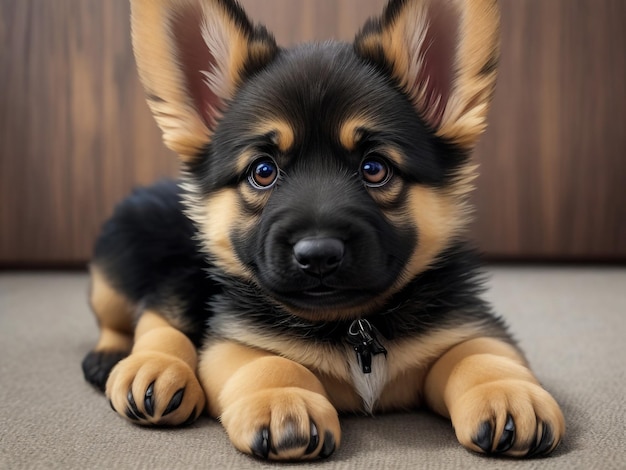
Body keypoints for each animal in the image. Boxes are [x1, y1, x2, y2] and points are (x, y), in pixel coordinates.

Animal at [80, 0, 564, 462]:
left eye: (374, 168)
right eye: (263, 171)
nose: (318, 256)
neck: (354, 326)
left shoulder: (469, 326)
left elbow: (480, 356)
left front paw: (506, 392)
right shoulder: (231, 342)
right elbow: (272, 364)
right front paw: (282, 400)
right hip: (116, 276)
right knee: (146, 316)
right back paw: (138, 363)